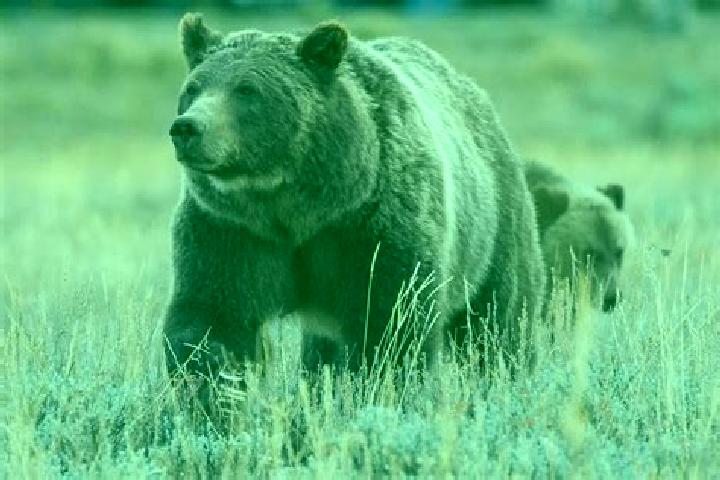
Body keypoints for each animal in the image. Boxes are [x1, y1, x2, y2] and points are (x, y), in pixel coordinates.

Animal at [163, 13, 545, 387]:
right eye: (193, 87)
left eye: (247, 89)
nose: (187, 127)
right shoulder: (231, 228)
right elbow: (214, 316)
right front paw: (208, 387)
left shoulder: (373, 226)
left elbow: (391, 321)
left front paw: (383, 382)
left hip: (494, 227)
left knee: (499, 317)